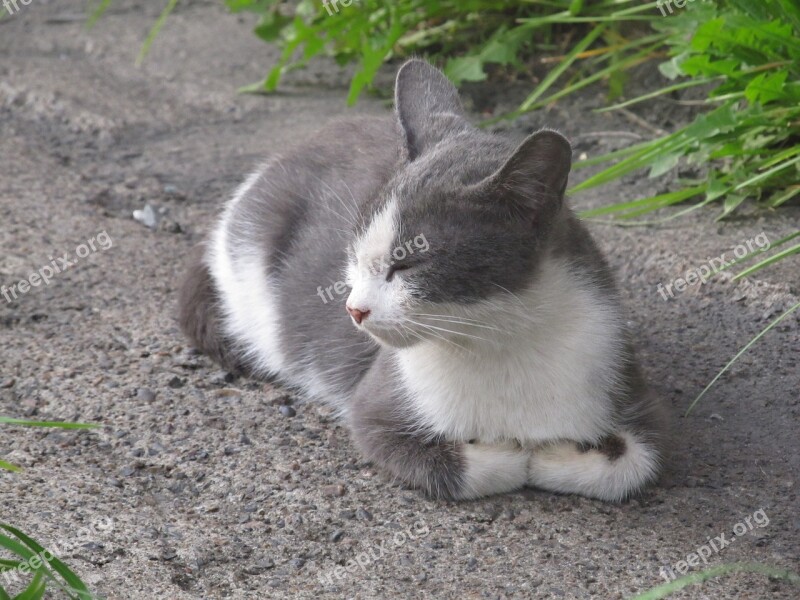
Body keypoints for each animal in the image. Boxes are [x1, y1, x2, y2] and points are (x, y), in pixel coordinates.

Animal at [178, 59, 664, 502]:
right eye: (353, 255)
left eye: (407, 265)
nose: (354, 309)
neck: (499, 340)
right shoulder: (375, 406)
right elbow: (455, 463)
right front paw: (511, 455)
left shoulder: (619, 372)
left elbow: (636, 461)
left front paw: (552, 455)